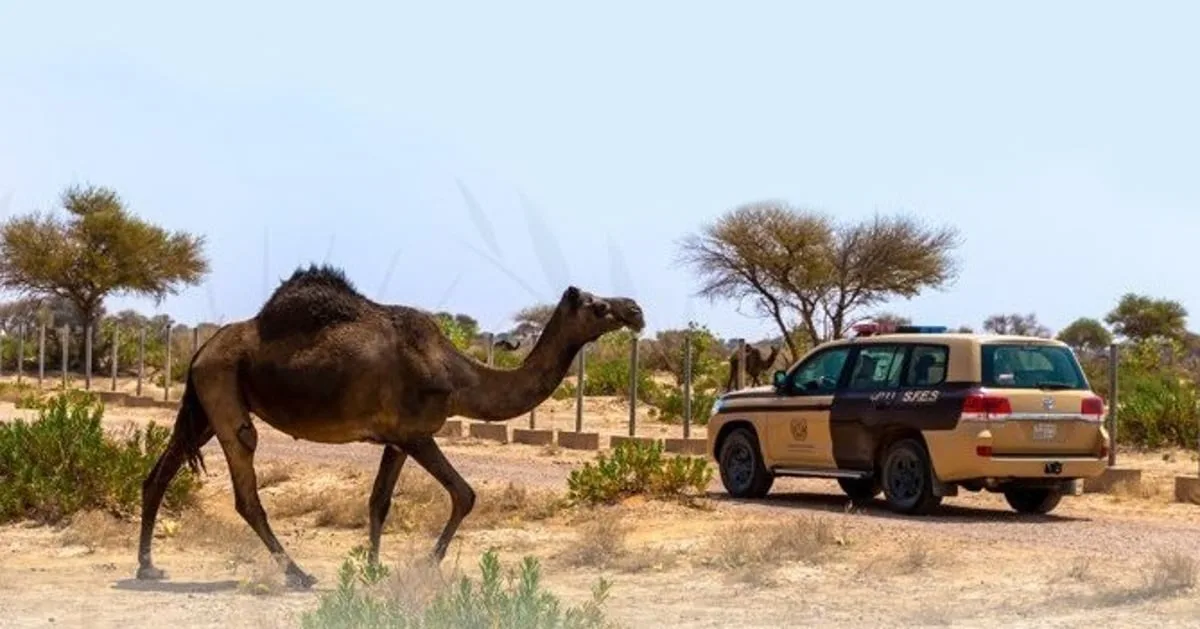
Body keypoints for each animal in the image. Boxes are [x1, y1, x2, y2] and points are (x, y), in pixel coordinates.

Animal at [135, 262, 643, 588]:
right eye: (597, 306)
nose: (635, 308)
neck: (460, 377)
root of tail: (201, 351)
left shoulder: (396, 439)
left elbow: (379, 502)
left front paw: (373, 568)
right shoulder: (417, 433)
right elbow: (465, 494)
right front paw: (424, 564)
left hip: (205, 405)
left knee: (159, 474)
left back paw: (147, 567)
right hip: (223, 390)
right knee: (246, 484)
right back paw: (298, 573)